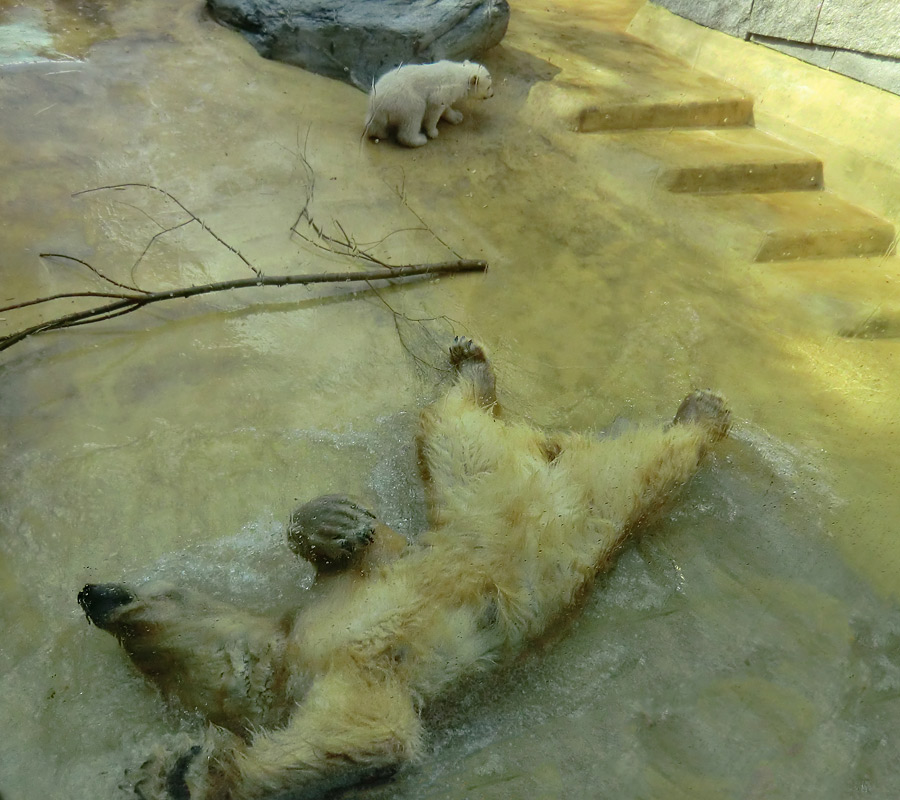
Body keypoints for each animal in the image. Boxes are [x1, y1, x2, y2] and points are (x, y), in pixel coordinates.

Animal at [75, 338, 724, 800]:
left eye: (149, 597)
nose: (90, 593)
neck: (292, 653)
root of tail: (547, 453)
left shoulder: (343, 603)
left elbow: (372, 549)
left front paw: (335, 520)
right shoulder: (346, 676)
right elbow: (363, 737)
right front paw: (179, 772)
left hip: (525, 496)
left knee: (642, 467)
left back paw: (704, 410)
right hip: (500, 481)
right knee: (455, 424)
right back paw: (476, 367)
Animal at [364, 60, 492, 148]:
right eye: (489, 87)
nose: (492, 95)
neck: (460, 75)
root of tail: (377, 100)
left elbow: (446, 106)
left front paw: (457, 116)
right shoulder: (443, 90)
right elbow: (435, 108)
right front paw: (433, 132)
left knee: (375, 123)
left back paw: (379, 133)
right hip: (405, 100)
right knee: (414, 115)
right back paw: (419, 139)